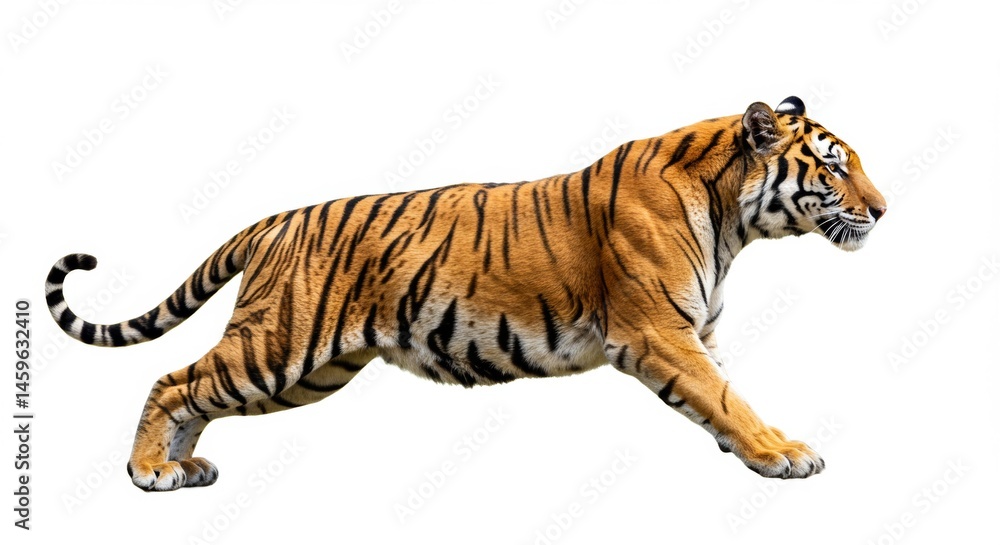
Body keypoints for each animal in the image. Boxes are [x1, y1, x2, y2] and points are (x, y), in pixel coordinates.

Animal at [46, 96, 886, 491]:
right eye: (834, 166)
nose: (883, 209)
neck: (732, 219)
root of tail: (277, 219)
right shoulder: (659, 331)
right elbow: (728, 397)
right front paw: (784, 452)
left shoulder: (694, 334)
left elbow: (722, 396)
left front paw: (752, 450)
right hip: (279, 344)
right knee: (171, 379)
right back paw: (149, 470)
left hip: (306, 371)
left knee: (197, 392)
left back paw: (181, 467)